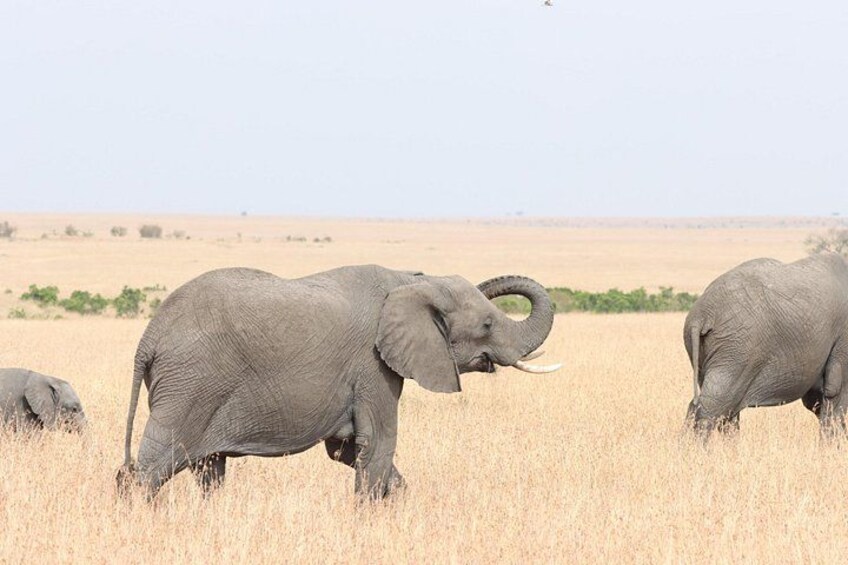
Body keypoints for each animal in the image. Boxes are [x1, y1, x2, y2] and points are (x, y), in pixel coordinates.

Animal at [117, 265, 560, 500]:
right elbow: (377, 443)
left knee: (208, 467)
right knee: (153, 466)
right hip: (189, 384)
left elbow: (348, 451)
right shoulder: (372, 366)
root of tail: (148, 338)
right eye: (486, 325)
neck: (409, 280)